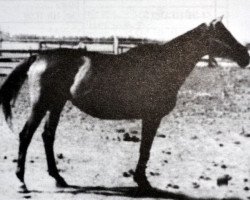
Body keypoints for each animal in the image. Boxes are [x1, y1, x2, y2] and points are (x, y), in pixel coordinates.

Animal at [0, 16, 249, 191]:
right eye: (223, 34)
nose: (245, 57)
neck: (164, 64)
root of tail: (39, 56)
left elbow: (144, 149)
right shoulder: (152, 117)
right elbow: (145, 149)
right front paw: (142, 181)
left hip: (57, 104)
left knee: (47, 136)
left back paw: (58, 178)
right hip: (41, 104)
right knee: (26, 135)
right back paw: (21, 180)